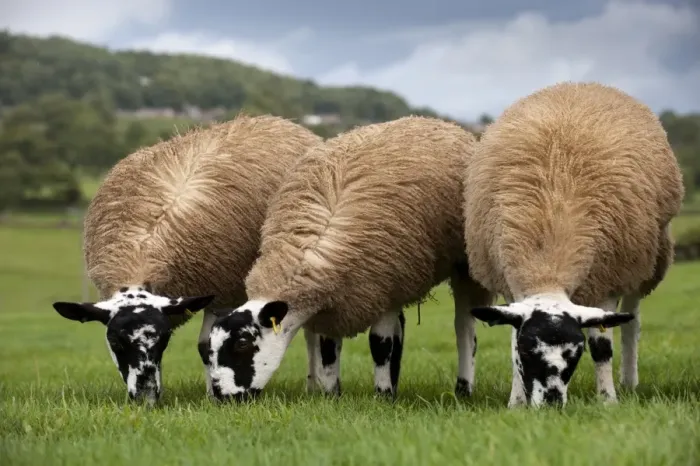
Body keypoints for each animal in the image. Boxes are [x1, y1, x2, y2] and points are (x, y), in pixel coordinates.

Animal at [51, 114, 323, 404]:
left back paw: (314, 385)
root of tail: (273, 120)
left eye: (164, 340)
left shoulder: (225, 292)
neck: (139, 258)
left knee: (312, 331)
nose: (146, 398)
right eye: (115, 342)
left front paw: (213, 396)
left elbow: (206, 345)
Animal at [201, 115, 495, 401]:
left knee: (464, 330)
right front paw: (332, 396)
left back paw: (462, 389)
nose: (222, 397)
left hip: (460, 268)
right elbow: (329, 349)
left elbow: (380, 345)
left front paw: (382, 397)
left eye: (242, 344)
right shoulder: (335, 304)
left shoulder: (383, 288)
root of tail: (437, 122)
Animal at [463, 81, 684, 407]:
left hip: (642, 261)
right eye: (528, 350)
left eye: (575, 353)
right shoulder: (511, 289)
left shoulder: (605, 284)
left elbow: (602, 348)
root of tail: (580, 85)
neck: (548, 270)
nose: (552, 402)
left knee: (631, 322)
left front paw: (607, 400)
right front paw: (516, 403)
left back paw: (629, 382)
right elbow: (511, 342)